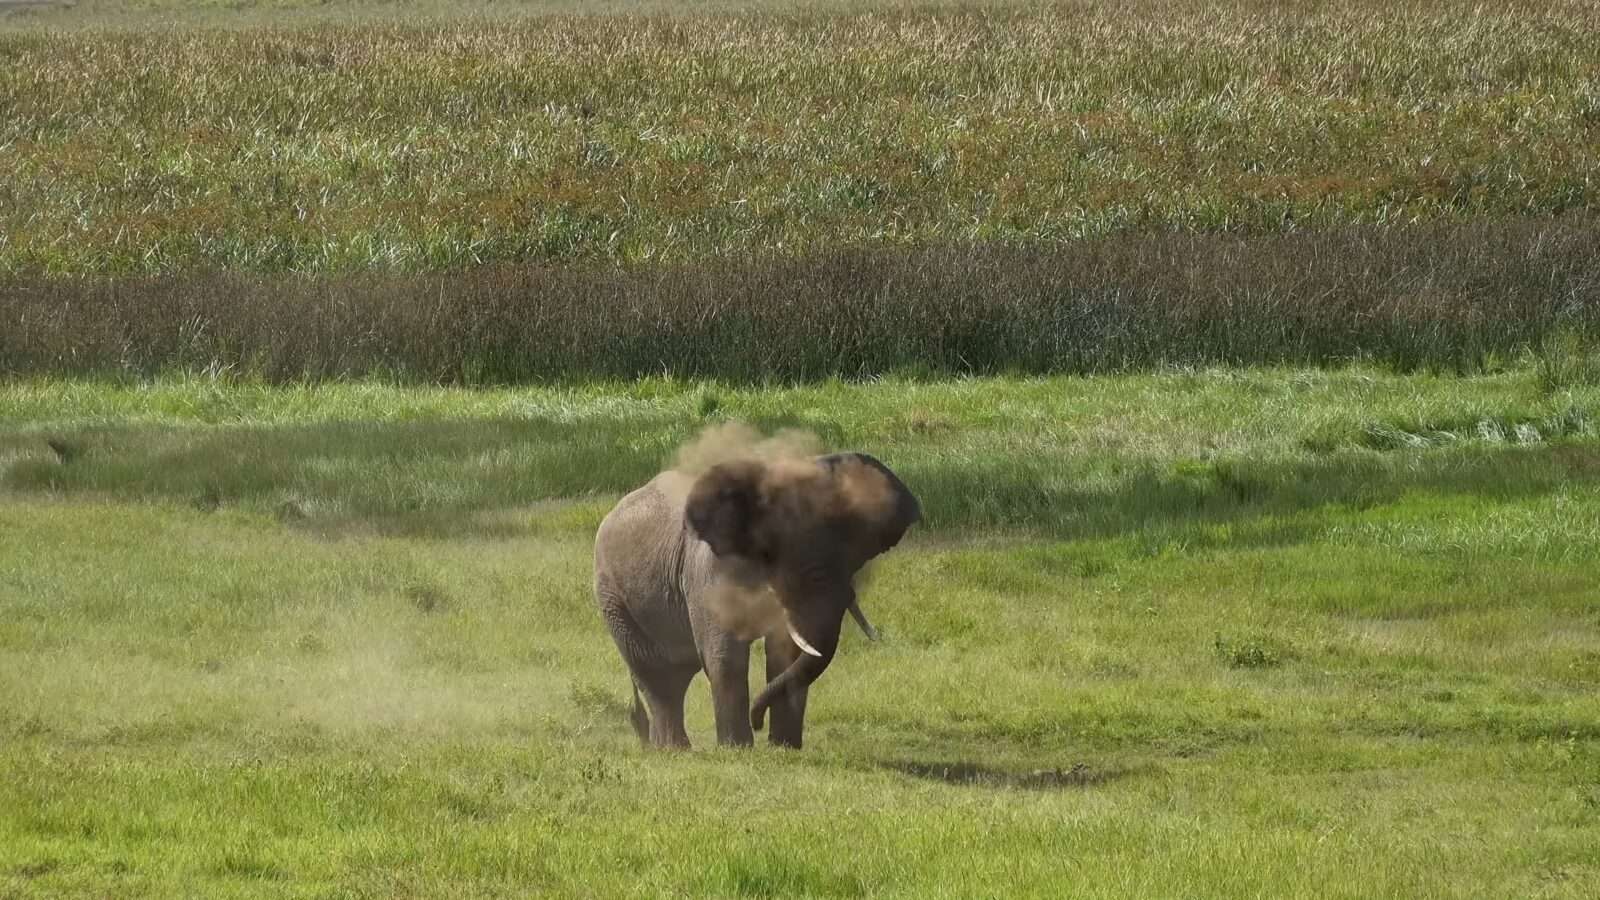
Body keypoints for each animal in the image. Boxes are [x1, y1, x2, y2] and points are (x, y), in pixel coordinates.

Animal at [592, 448, 921, 749]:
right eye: (779, 554)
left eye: (855, 560)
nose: (757, 720)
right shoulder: (708, 571)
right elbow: (725, 654)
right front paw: (736, 749)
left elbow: (787, 653)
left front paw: (784, 748)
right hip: (612, 595)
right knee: (655, 674)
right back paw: (674, 749)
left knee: (677, 673)